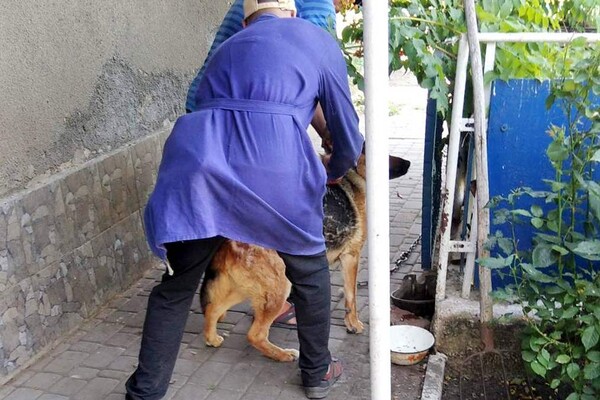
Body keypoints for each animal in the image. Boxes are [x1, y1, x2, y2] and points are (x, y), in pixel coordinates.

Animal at [199, 150, 410, 362]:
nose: (408, 163)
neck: (353, 175)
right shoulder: (351, 256)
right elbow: (352, 296)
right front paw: (353, 323)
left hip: (245, 288)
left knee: (212, 309)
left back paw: (212, 338)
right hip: (279, 288)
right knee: (254, 334)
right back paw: (283, 354)